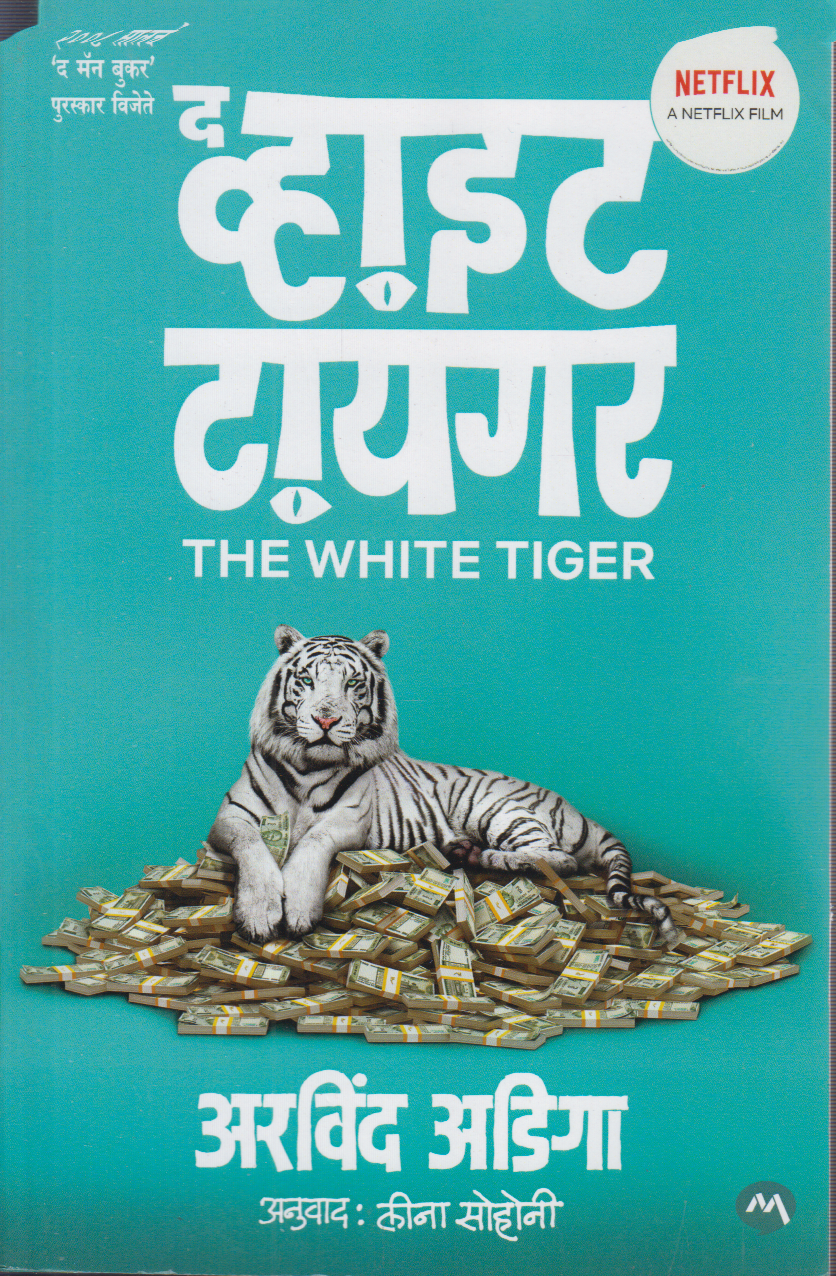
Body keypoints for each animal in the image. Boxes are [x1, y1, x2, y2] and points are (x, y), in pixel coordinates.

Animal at [207, 625, 678, 944]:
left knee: (557, 860)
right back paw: (463, 852)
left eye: (353, 683)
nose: (326, 720)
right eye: (306, 680)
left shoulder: (349, 820)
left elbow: (312, 842)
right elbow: (253, 846)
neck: (309, 766)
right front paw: (260, 913)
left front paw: (300, 910)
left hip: (497, 808)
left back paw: (480, 855)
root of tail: (580, 814)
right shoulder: (231, 817)